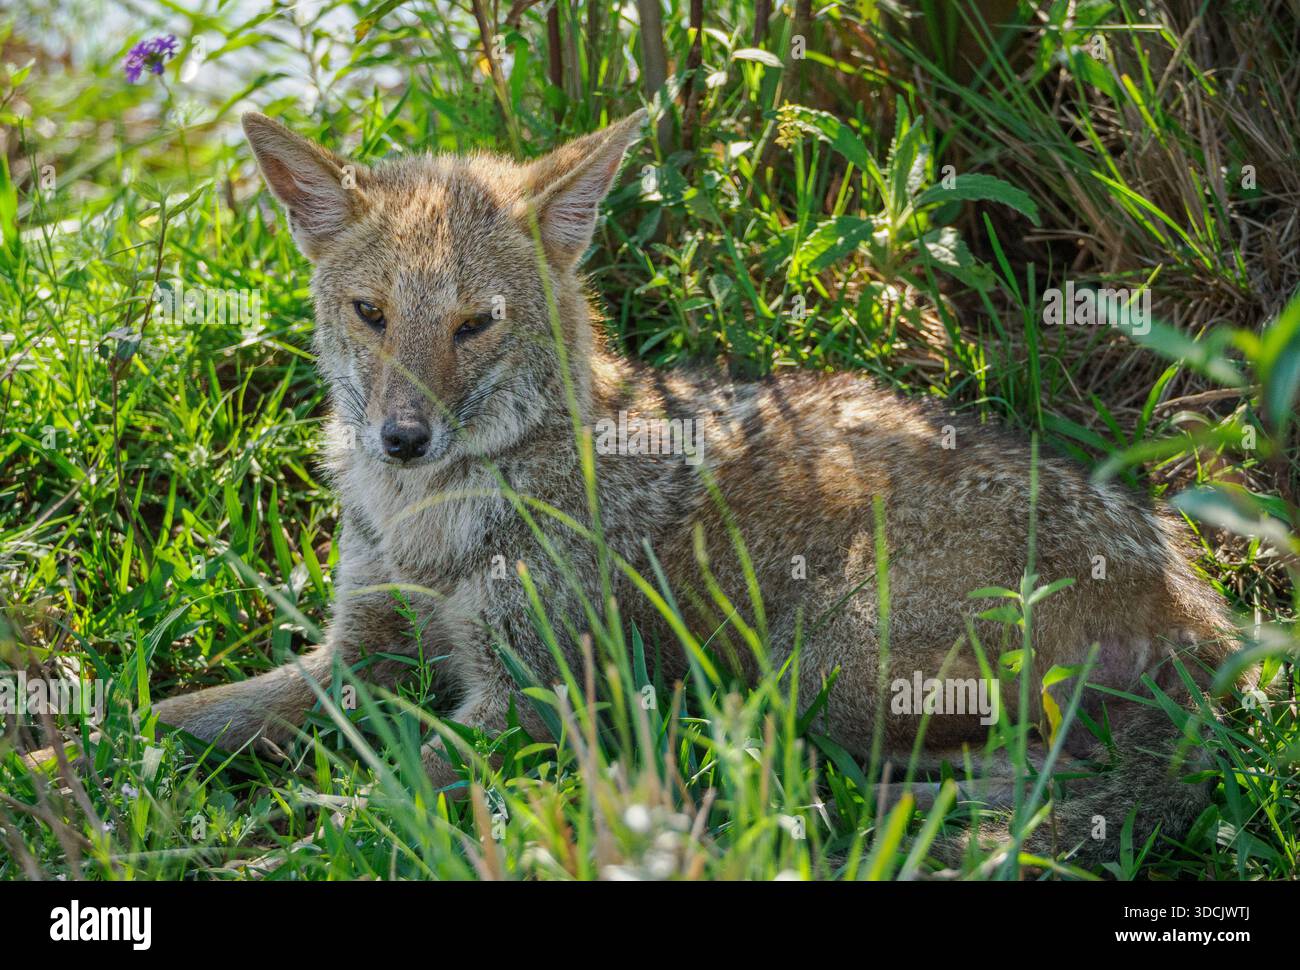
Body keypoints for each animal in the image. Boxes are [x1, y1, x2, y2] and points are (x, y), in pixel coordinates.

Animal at [149, 107, 1242, 869]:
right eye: (371, 314)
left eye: (474, 324)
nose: (402, 438)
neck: (425, 519)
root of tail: (1200, 605)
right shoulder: (354, 657)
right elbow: (168, 716)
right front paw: (107, 774)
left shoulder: (533, 708)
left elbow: (377, 799)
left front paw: (245, 844)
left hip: (814, 680)